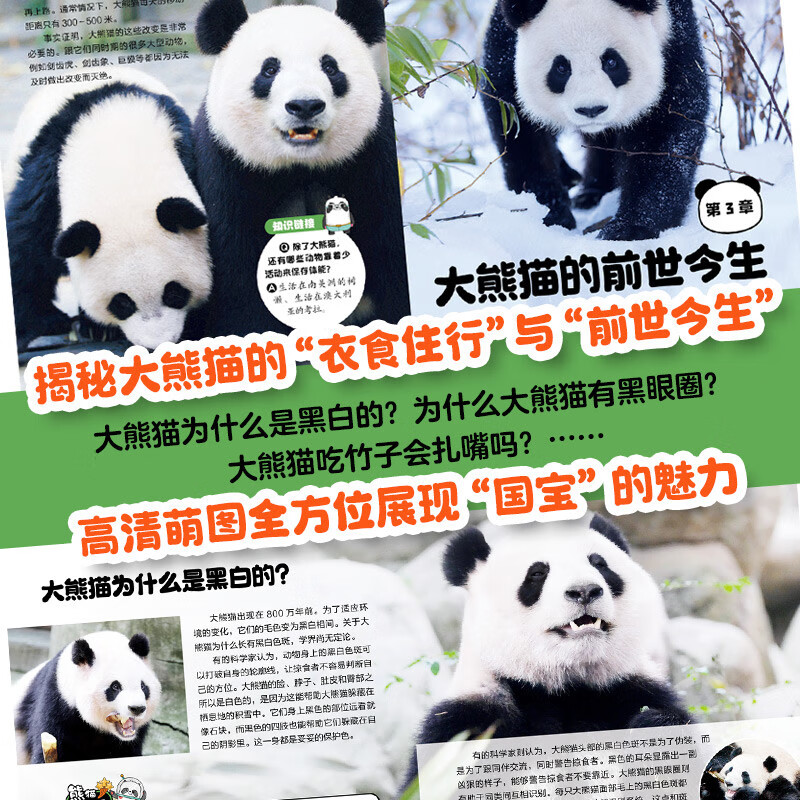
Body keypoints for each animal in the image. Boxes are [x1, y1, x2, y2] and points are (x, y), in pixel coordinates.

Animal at [6, 73, 213, 351]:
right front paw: (42, 324)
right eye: (122, 302)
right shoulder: (48, 179)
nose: (156, 344)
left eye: (174, 292)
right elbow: (25, 246)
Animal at [192, 0, 410, 337]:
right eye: (269, 69)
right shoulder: (228, 170)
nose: (305, 106)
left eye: (330, 67)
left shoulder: (373, 160)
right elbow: (240, 288)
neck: (303, 167)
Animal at [403, 515, 689, 785]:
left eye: (600, 564)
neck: (563, 686)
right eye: (537, 573)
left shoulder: (628, 689)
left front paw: (653, 728)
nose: (584, 591)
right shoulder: (468, 721)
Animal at [480, 0, 710, 240]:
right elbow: (520, 132)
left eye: (611, 62)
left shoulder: (672, 37)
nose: (591, 109)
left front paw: (628, 228)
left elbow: (663, 136)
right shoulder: (504, 44)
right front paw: (547, 213)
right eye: (561, 67)